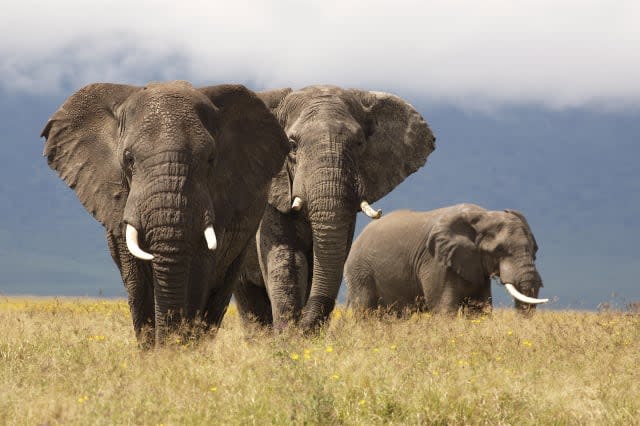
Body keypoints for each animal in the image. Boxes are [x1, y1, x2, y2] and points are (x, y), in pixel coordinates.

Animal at [40, 80, 288, 346]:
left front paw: (179, 349)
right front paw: (155, 351)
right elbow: (137, 280)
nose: (168, 343)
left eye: (210, 159)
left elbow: (198, 273)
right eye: (128, 158)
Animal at [344, 205, 552, 314]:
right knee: (364, 311)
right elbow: (444, 308)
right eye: (499, 250)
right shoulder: (435, 261)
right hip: (360, 271)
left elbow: (479, 309)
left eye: (535, 249)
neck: (482, 216)